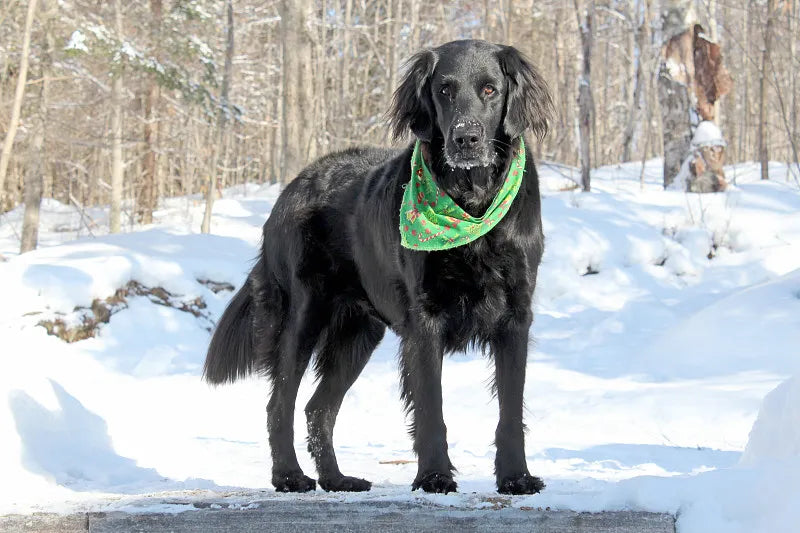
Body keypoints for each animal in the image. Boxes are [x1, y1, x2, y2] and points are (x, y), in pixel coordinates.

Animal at [203, 40, 552, 494]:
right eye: (444, 90)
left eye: (491, 89)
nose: (466, 138)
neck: (471, 203)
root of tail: (290, 189)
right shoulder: (425, 319)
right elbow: (431, 406)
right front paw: (434, 476)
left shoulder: (515, 314)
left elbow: (510, 410)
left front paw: (515, 477)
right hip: (304, 314)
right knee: (280, 403)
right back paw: (290, 476)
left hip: (359, 331)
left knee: (318, 408)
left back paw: (336, 479)